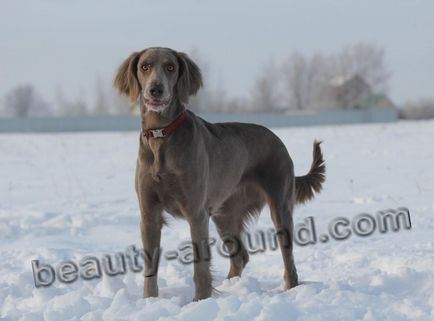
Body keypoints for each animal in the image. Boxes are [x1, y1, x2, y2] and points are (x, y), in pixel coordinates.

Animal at [113, 46, 324, 298]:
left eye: (170, 67)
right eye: (144, 66)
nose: (156, 89)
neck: (161, 134)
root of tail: (278, 140)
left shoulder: (196, 212)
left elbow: (200, 265)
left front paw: (200, 301)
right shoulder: (149, 214)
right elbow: (150, 266)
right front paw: (150, 301)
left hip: (279, 205)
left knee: (288, 260)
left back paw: (289, 290)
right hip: (225, 214)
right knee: (241, 256)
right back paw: (231, 286)